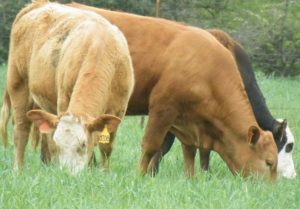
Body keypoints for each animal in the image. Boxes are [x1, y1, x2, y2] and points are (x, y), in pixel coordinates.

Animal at [0, 0, 134, 174]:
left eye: (83, 144)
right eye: (60, 144)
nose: (68, 175)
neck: (101, 46)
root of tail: (37, 5)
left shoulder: (119, 108)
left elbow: (106, 147)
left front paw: (104, 173)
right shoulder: (63, 100)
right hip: (18, 84)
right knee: (21, 130)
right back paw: (19, 169)